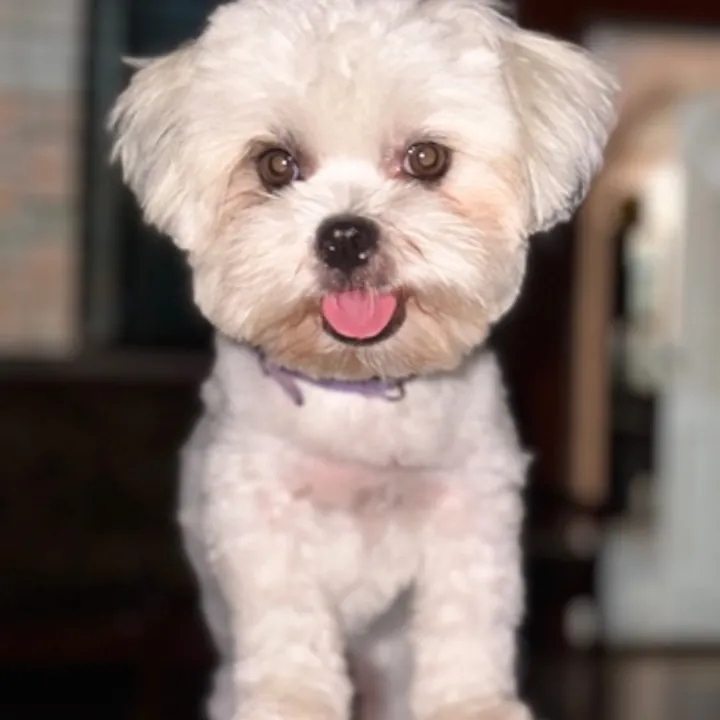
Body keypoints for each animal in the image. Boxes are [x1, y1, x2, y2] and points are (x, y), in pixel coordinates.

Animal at [109, 1, 615, 719]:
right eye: (275, 164)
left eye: (426, 158)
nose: (345, 236)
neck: (359, 387)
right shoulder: (259, 510)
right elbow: (287, 622)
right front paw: (290, 701)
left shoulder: (471, 505)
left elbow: (468, 615)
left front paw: (471, 703)